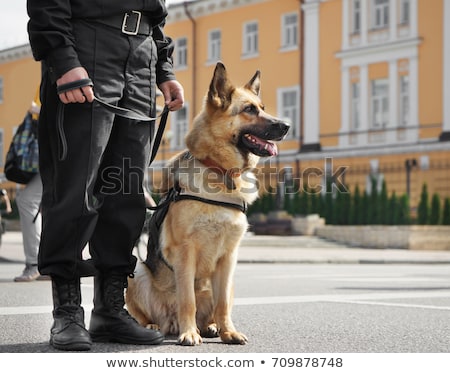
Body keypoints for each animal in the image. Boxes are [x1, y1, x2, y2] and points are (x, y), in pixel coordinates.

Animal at [125, 62, 288, 344]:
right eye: (249, 110)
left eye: (263, 107)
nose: (287, 125)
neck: (221, 173)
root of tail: (169, 323)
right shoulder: (185, 253)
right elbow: (187, 299)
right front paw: (189, 333)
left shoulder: (229, 258)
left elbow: (222, 304)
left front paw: (228, 332)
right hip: (137, 273)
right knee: (149, 313)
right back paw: (155, 326)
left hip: (230, 281)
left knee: (215, 307)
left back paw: (210, 327)